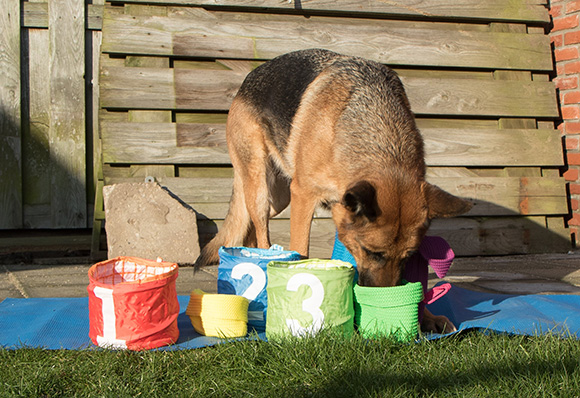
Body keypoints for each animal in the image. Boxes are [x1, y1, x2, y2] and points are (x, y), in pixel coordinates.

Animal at [195, 48, 472, 334]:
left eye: (408, 257)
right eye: (373, 253)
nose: (382, 301)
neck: (383, 147)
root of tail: (248, 80)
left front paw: (426, 316)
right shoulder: (303, 196)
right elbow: (300, 250)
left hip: (278, 198)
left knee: (251, 227)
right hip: (260, 184)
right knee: (260, 229)